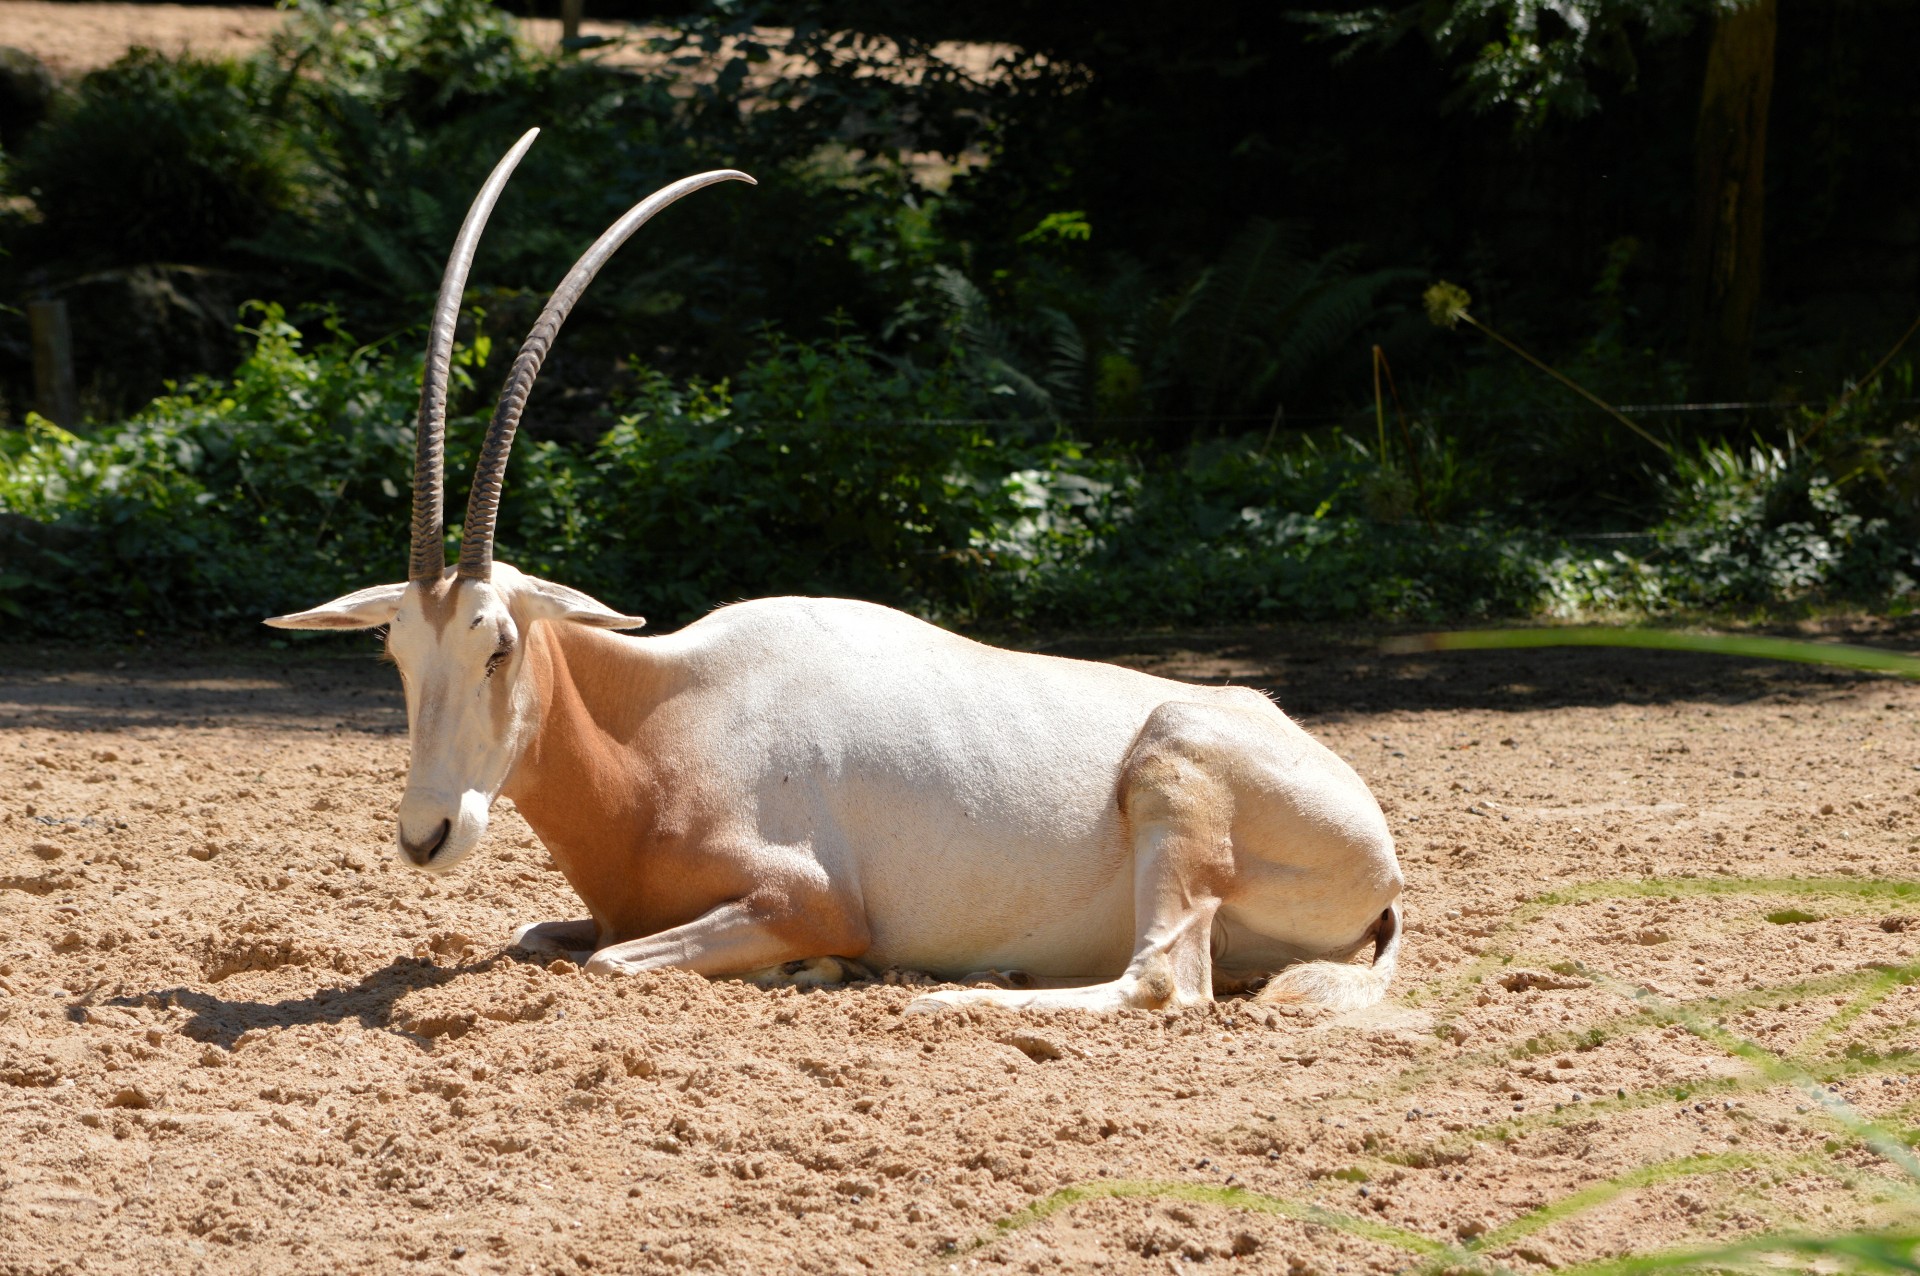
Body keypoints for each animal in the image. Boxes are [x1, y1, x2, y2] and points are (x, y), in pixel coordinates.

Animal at [266, 131, 1413, 1013]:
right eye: (395, 654)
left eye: (497, 644)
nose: (427, 836)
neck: (662, 728)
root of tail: (1380, 848)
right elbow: (538, 938)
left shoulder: (807, 896)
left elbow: (611, 962)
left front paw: (818, 968)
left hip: (1173, 776)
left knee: (1163, 983)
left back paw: (961, 994)